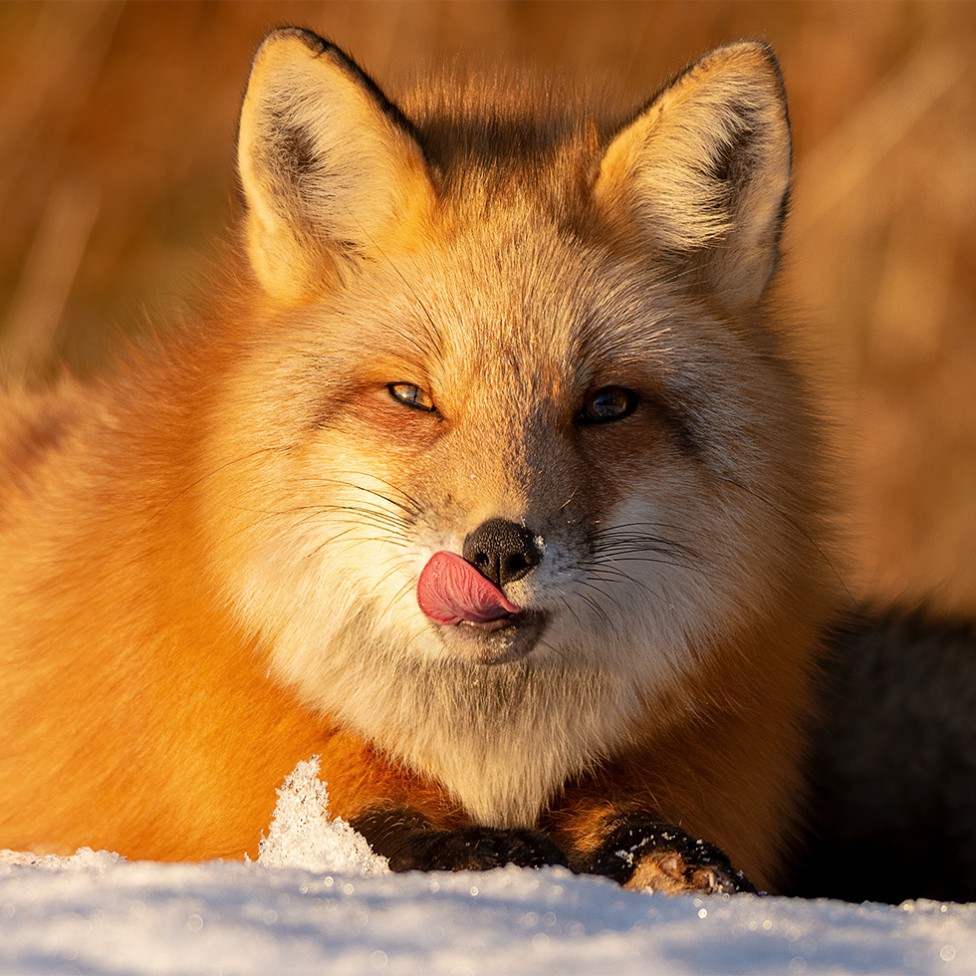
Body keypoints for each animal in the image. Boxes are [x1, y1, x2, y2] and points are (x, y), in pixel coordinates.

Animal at [0, 28, 832, 900]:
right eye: (411, 397)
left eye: (606, 405)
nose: (498, 551)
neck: (491, 762)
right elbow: (358, 831)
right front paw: (492, 855)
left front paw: (663, 859)